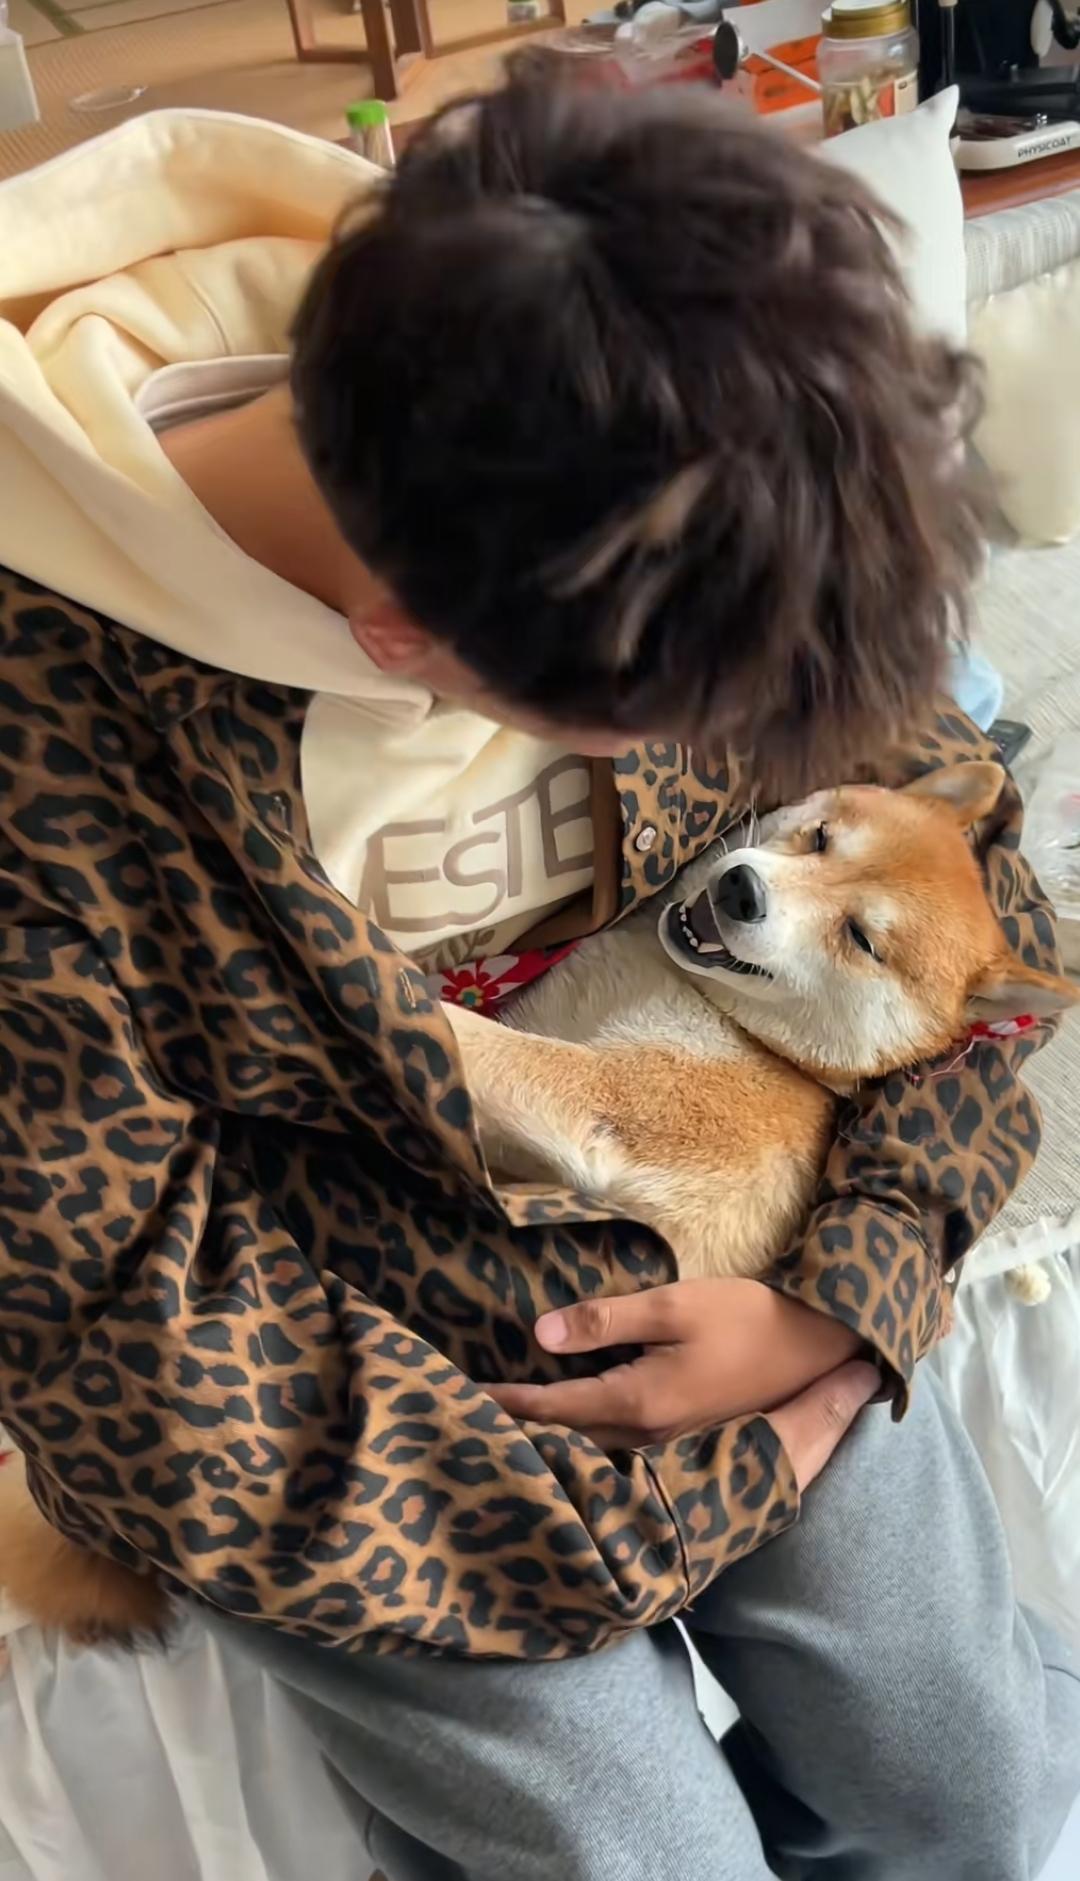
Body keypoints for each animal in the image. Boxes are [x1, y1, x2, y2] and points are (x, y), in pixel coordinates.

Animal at [1, 761, 1073, 1646]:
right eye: (817, 838)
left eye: (862, 940)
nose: (739, 889)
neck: (758, 1042)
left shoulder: (616, 1111)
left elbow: (462, 1039)